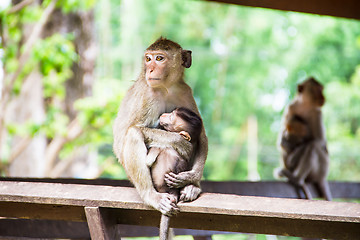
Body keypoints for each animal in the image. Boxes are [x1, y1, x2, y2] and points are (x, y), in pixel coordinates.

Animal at [112, 37, 208, 218]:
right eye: (148, 59)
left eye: (159, 58)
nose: (150, 70)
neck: (166, 87)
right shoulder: (146, 95)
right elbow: (131, 130)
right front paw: (178, 141)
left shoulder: (185, 91)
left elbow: (201, 136)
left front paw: (191, 177)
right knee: (133, 134)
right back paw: (150, 195)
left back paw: (192, 186)